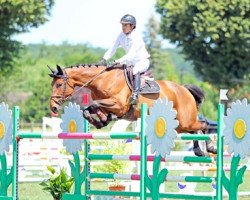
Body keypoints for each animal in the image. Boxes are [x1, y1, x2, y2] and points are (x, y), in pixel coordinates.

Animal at [48, 64, 217, 156]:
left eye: (58, 85)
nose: (53, 107)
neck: (103, 80)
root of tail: (184, 89)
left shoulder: (118, 105)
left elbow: (93, 105)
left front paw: (103, 120)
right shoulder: (108, 105)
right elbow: (88, 109)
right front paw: (101, 122)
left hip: (186, 120)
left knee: (203, 125)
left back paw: (210, 148)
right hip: (181, 125)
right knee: (195, 129)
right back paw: (199, 151)